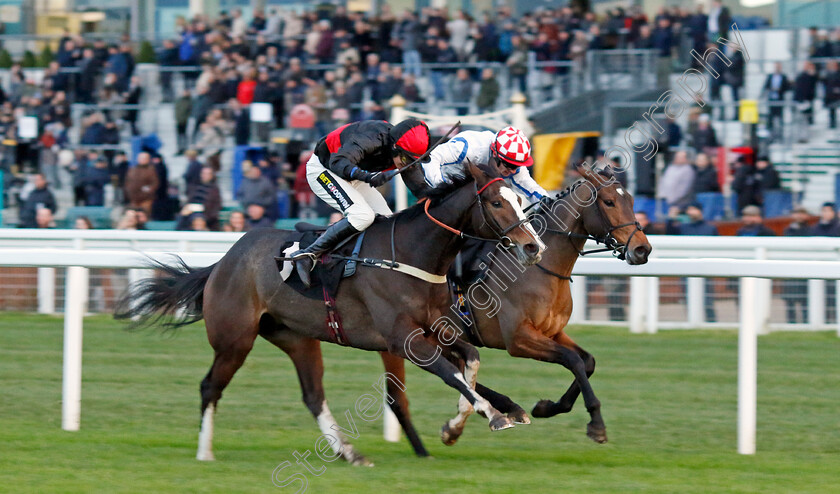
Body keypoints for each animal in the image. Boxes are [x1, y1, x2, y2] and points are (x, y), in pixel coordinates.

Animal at [116, 163, 544, 464]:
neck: (412, 254)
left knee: (313, 394)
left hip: (295, 337)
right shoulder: (403, 339)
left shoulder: (438, 329)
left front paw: (459, 425)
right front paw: (492, 415)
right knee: (210, 387)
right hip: (235, 339)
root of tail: (223, 261)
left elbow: (469, 362)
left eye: (518, 199)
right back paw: (205, 452)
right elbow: (452, 374)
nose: (533, 246)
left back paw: (349, 452)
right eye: (496, 202)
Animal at [382, 164, 656, 454]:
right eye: (608, 201)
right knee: (405, 392)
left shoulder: (552, 332)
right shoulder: (518, 338)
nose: (642, 249)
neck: (541, 267)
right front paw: (596, 424)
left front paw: (547, 407)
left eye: (631, 200)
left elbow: (587, 361)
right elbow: (572, 360)